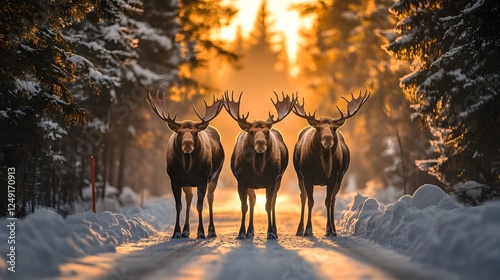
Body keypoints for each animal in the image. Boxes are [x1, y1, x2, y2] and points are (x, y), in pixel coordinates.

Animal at [145, 92, 223, 238]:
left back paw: (211, 230)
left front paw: (200, 232)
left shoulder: (203, 179)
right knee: (189, 199)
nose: (187, 144)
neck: (188, 167)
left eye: (195, 133)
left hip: (215, 175)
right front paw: (176, 232)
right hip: (187, 183)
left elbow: (199, 205)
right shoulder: (174, 179)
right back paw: (186, 231)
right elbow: (178, 205)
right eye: (179, 132)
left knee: (210, 198)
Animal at [224, 91, 296, 240]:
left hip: (279, 179)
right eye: (251, 132)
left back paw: (275, 230)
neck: (258, 170)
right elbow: (244, 206)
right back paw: (250, 231)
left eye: (267, 132)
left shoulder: (272, 180)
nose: (261, 144)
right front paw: (241, 233)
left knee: (274, 201)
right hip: (251, 184)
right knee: (253, 201)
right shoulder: (241, 181)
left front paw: (271, 232)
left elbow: (268, 205)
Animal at [292, 90, 370, 236]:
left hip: (341, 177)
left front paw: (329, 229)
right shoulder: (307, 177)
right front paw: (308, 229)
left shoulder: (334, 177)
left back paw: (333, 229)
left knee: (333, 199)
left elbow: (328, 201)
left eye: (333, 128)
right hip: (299, 174)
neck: (324, 167)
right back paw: (299, 229)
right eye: (318, 128)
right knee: (303, 197)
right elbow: (311, 201)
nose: (327, 139)